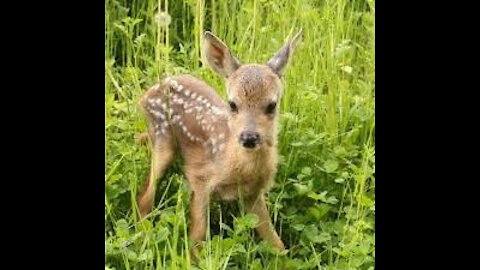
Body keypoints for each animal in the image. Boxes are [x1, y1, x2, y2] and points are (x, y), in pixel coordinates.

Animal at [136, 29, 300, 253]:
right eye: (232, 104)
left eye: (272, 105)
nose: (249, 137)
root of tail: (147, 93)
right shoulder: (199, 177)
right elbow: (197, 237)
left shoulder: (253, 193)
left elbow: (274, 240)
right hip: (162, 141)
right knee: (144, 198)